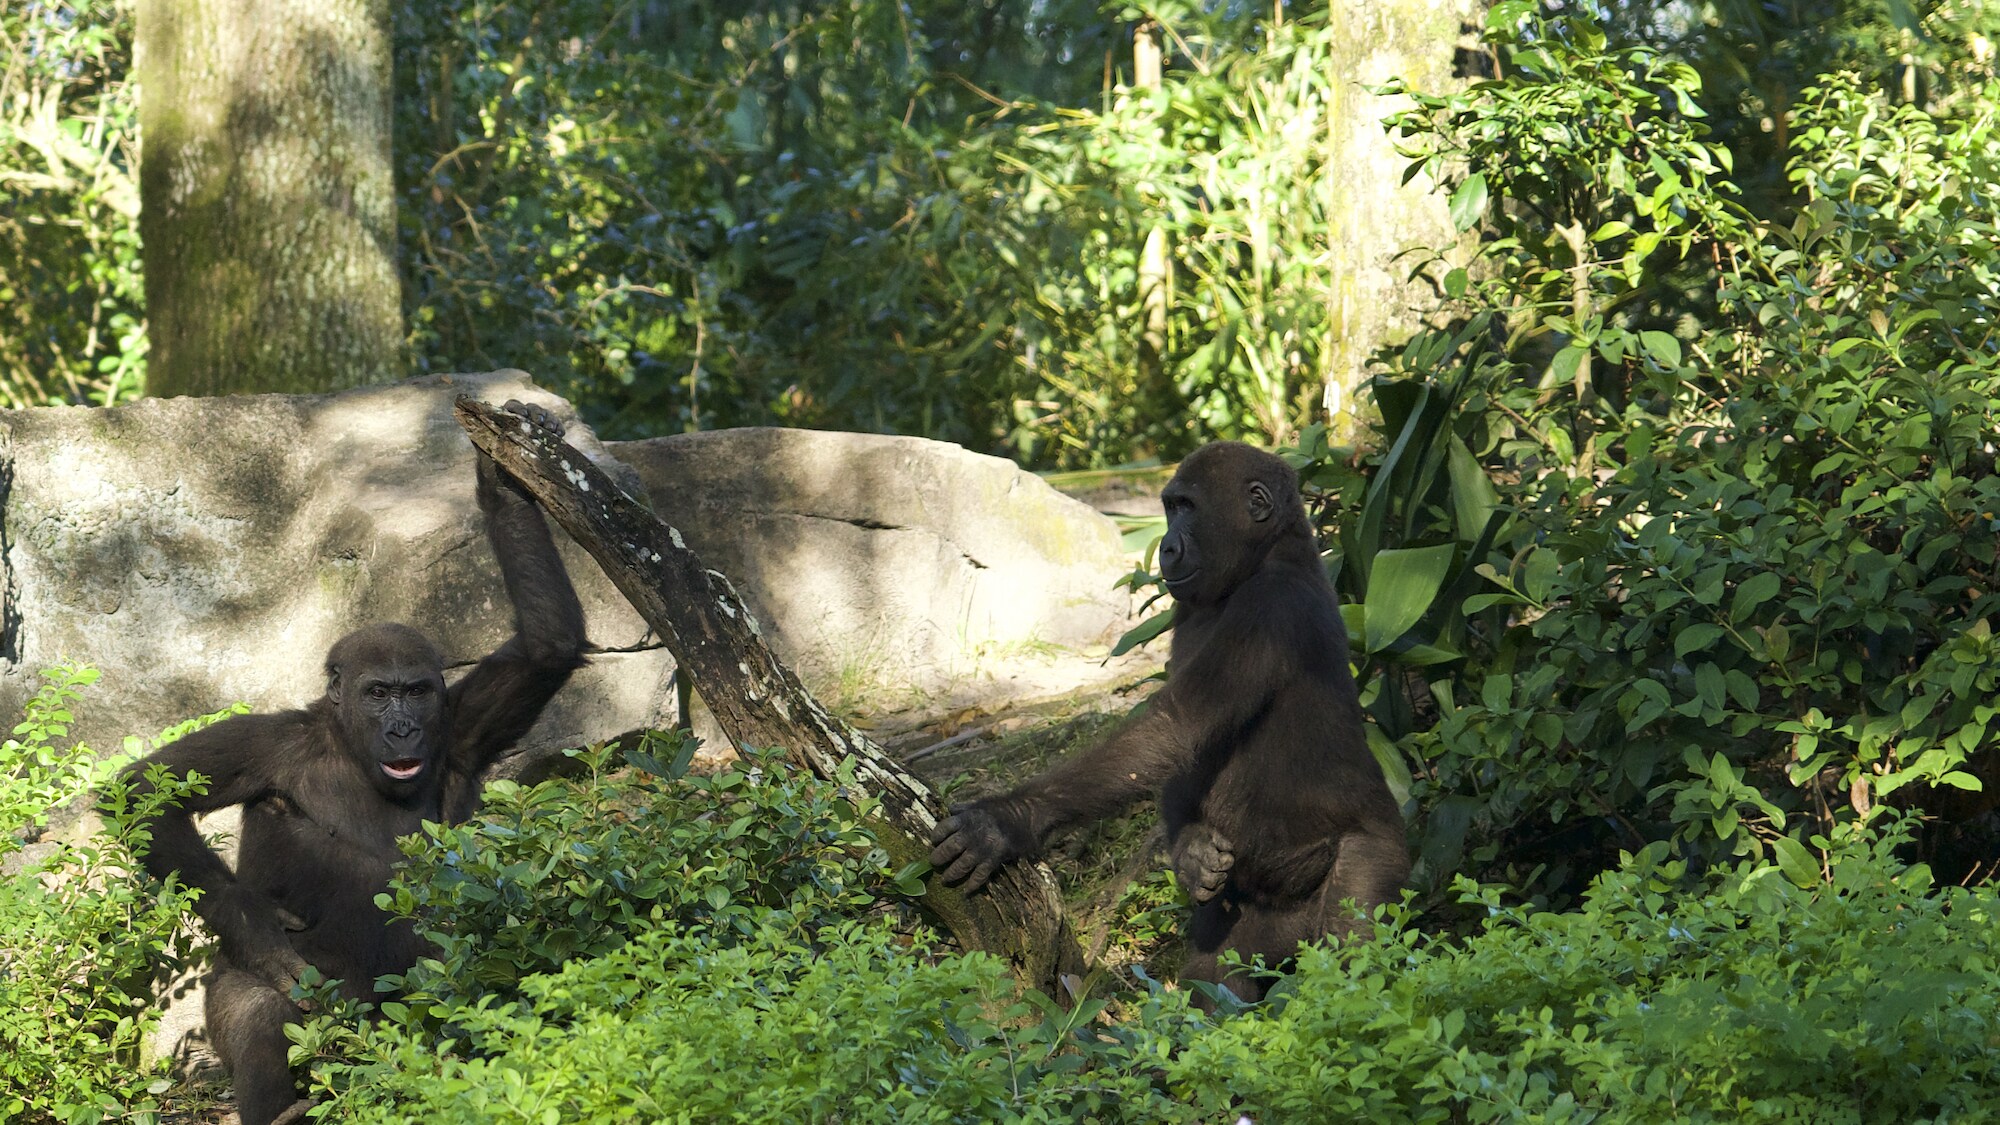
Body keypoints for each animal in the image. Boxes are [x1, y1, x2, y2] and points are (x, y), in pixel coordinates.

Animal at [126, 398, 584, 1112]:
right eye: (377, 693)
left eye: (416, 692)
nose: (402, 731)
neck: (348, 743)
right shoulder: (272, 742)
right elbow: (149, 792)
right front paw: (256, 924)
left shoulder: (459, 726)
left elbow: (547, 645)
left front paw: (504, 478)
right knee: (258, 1011)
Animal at [932, 438, 1408, 996]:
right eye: (1169, 507)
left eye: (1188, 507)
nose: (1166, 548)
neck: (1269, 554)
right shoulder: (1188, 612)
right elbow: (1178, 749)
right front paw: (1190, 854)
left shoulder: (1270, 606)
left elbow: (1173, 727)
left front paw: (1009, 819)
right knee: (1219, 981)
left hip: (1377, 853)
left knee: (1353, 967)